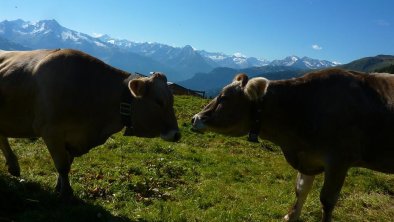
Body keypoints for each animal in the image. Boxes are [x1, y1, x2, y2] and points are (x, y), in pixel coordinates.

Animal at [0, 49, 180, 199]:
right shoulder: (50, 130)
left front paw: (59, 187)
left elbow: (68, 163)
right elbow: (62, 165)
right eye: (159, 101)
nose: (176, 134)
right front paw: (66, 193)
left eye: (172, 100)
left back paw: (13, 166)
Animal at [192, 68, 394, 221]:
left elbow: (327, 200)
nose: (194, 118)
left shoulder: (340, 160)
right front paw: (291, 216)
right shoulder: (309, 157)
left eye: (224, 98)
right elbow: (301, 188)